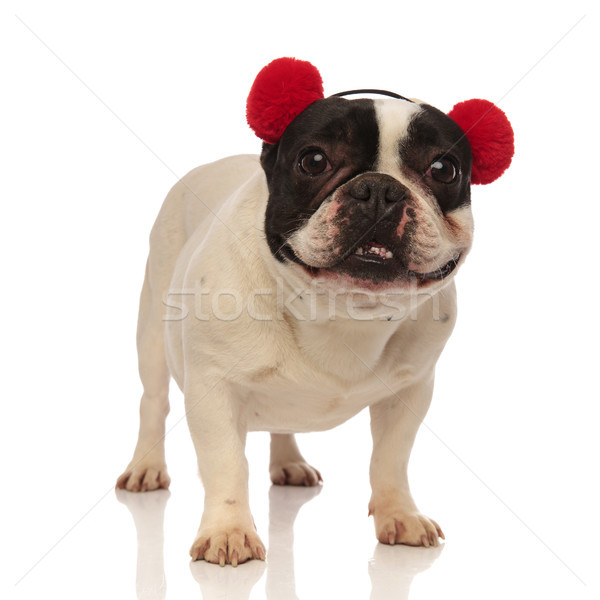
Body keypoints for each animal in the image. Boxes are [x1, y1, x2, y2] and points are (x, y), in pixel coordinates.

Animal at [118, 57, 516, 568]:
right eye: (313, 160)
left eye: (443, 169)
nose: (380, 190)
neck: (340, 310)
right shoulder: (214, 390)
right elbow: (226, 463)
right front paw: (229, 531)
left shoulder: (409, 392)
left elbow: (391, 458)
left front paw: (400, 515)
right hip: (151, 329)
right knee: (153, 400)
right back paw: (146, 467)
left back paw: (288, 461)